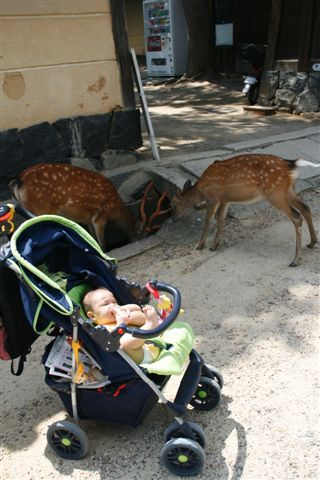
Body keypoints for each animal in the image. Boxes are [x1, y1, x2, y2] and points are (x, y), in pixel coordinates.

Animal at [9, 162, 138, 249]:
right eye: (134, 224)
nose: (134, 238)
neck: (115, 206)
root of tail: (18, 181)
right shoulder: (101, 215)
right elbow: (102, 242)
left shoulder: (89, 219)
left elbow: (92, 238)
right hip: (42, 208)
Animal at [171, 154, 318, 266]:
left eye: (173, 203)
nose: (172, 218)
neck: (201, 190)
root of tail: (290, 164)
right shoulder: (225, 200)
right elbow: (221, 219)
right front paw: (214, 246)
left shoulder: (213, 198)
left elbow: (208, 220)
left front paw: (200, 245)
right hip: (288, 191)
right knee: (306, 208)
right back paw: (312, 242)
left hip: (275, 193)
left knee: (296, 216)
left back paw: (295, 260)